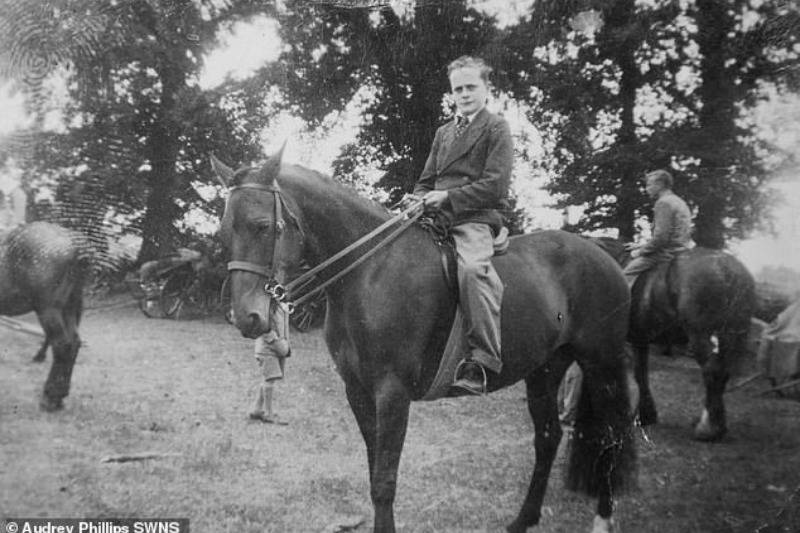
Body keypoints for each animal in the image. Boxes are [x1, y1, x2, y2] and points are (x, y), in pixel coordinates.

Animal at [0, 220, 88, 412]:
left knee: (62, 345)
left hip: (49, 309)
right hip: (69, 306)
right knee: (74, 343)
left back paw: (51, 397)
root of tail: (76, 245)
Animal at [211, 149, 636, 532]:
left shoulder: (392, 393)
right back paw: (523, 520)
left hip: (602, 365)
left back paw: (603, 518)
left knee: (610, 438)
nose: (247, 317)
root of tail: (602, 252)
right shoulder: (358, 390)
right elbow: (374, 470)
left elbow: (384, 482)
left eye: (263, 225)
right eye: (225, 230)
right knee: (548, 438)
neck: (370, 269)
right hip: (546, 370)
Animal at [592, 237, 752, 440]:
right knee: (722, 372)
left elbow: (636, 374)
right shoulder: (639, 339)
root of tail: (728, 269)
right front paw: (645, 415)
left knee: (712, 370)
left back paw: (707, 429)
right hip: (727, 337)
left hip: (700, 335)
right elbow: (641, 373)